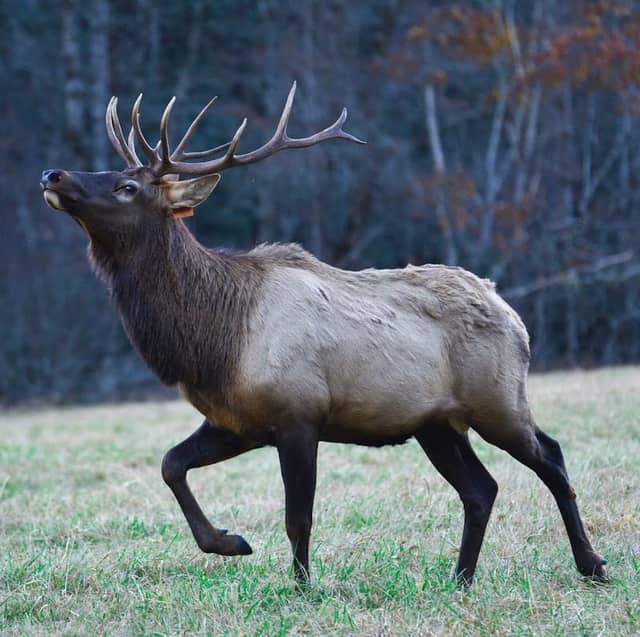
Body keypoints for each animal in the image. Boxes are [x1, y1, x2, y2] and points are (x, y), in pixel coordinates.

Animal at [40, 82, 607, 588]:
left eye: (127, 187)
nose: (53, 172)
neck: (215, 340)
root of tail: (510, 311)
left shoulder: (299, 413)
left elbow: (299, 516)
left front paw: (301, 587)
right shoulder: (236, 421)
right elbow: (170, 464)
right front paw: (230, 542)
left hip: (497, 400)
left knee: (551, 458)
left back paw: (592, 566)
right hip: (437, 424)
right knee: (481, 489)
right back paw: (461, 579)